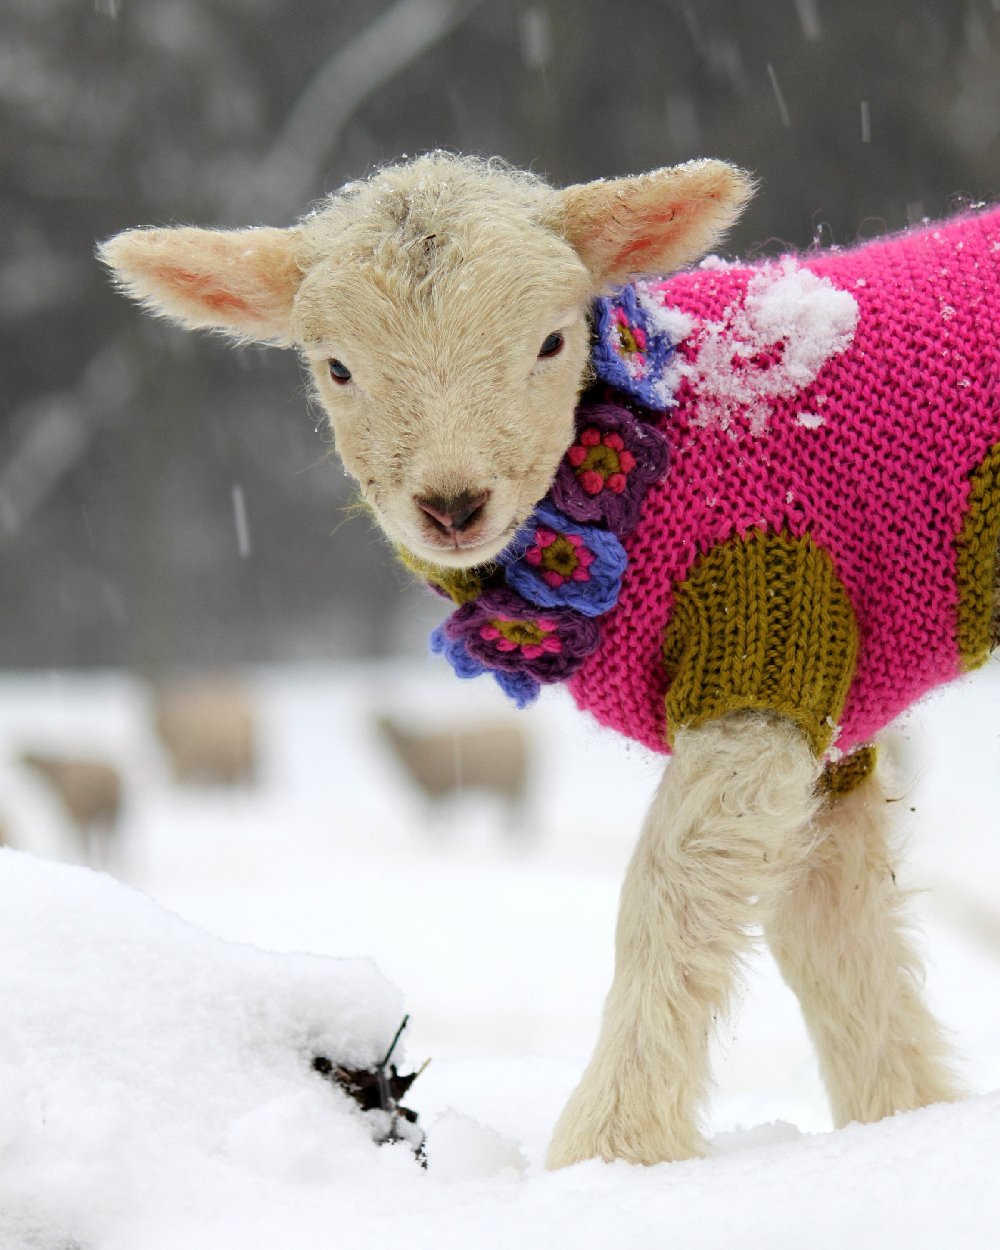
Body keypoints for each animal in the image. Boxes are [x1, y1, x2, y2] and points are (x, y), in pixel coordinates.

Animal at [99, 156, 1000, 1170]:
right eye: (336, 366)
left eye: (552, 341)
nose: (452, 506)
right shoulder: (825, 716)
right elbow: (835, 939)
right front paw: (903, 1121)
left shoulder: (765, 646)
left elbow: (673, 896)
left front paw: (610, 1154)